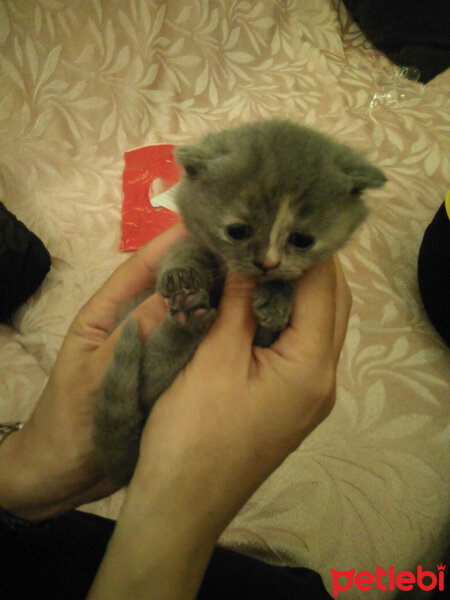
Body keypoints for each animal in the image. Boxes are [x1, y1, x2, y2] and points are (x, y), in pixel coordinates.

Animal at [93, 119, 384, 486]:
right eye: (238, 231)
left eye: (302, 239)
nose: (267, 262)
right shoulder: (185, 242)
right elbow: (184, 250)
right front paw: (181, 275)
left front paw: (275, 297)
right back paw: (187, 315)